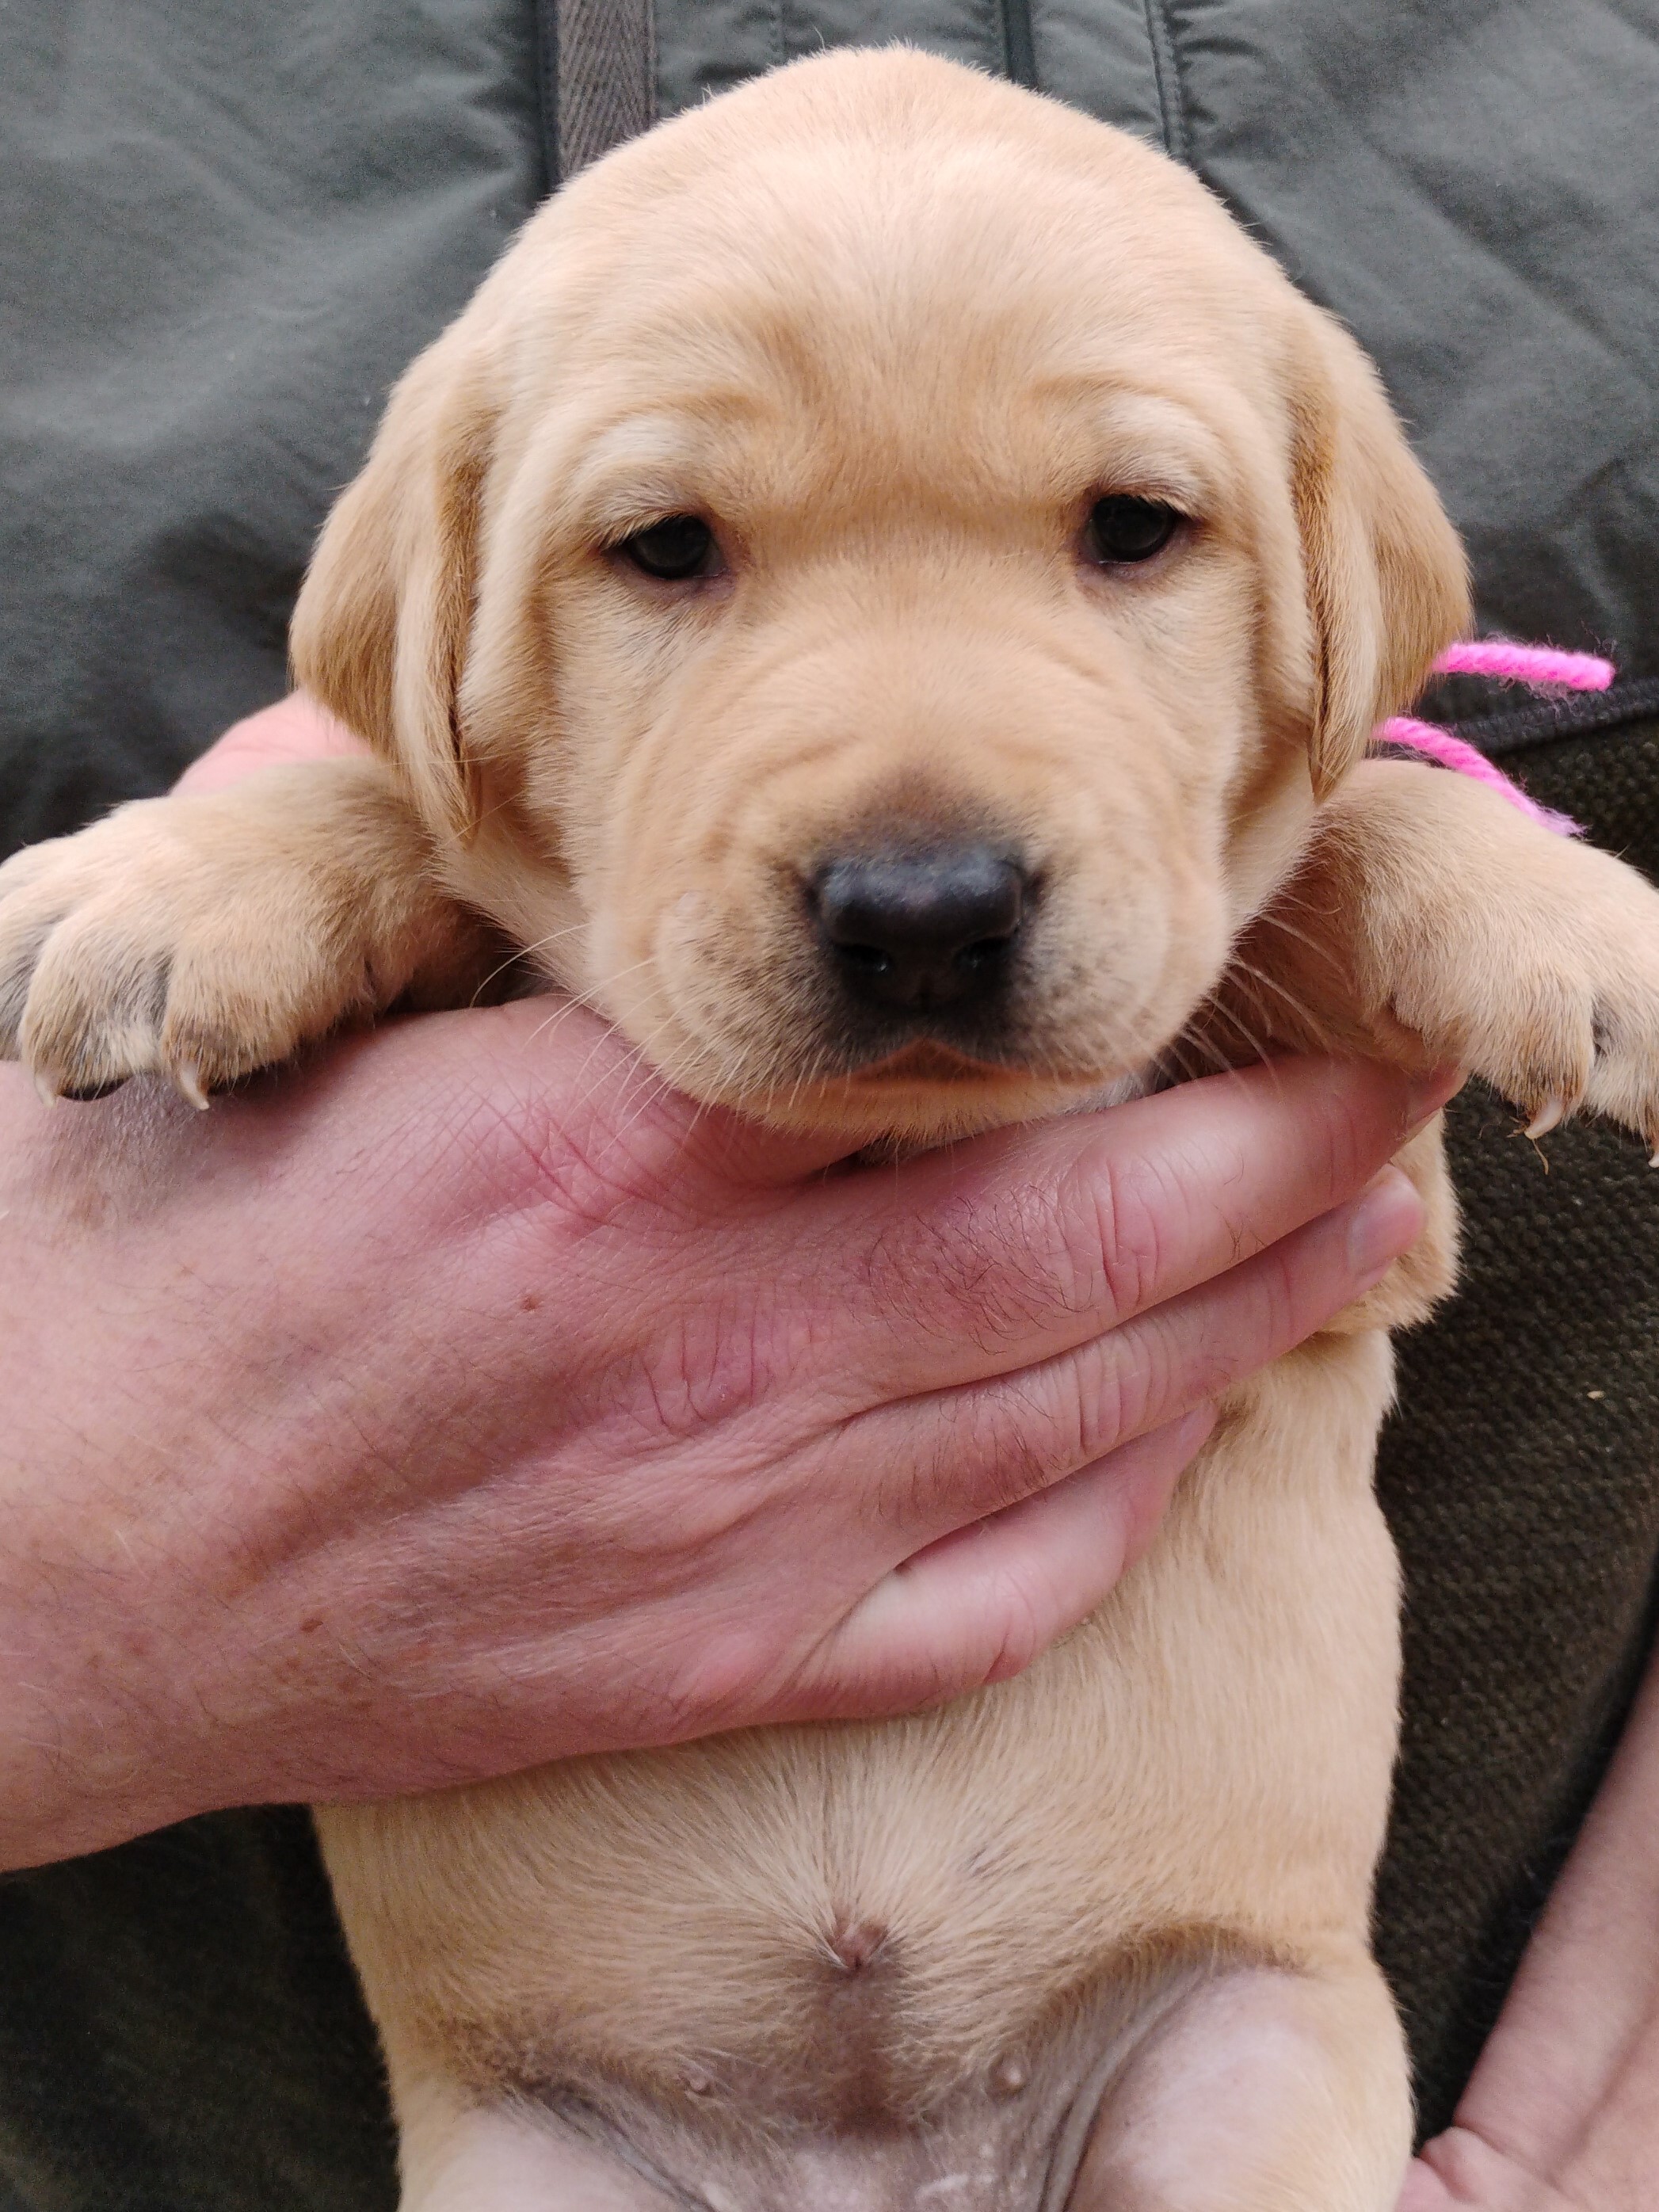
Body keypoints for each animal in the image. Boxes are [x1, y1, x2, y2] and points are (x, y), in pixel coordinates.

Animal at [3, 43, 1659, 2202]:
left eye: (1137, 529)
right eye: (664, 548)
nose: (926, 908)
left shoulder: (1373, 1181)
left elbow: (1349, 823)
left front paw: (1570, 917)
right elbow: (395, 810)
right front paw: (179, 882)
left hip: (1250, 2052)